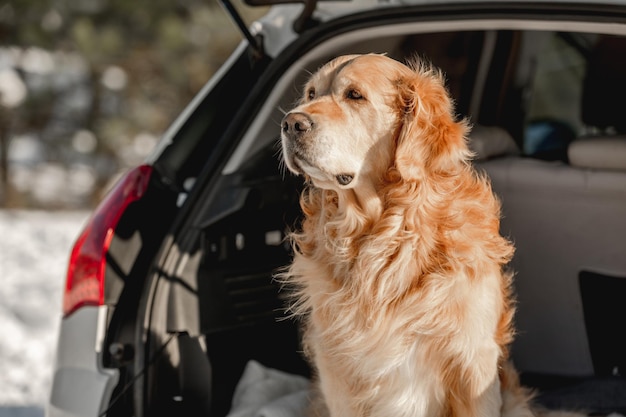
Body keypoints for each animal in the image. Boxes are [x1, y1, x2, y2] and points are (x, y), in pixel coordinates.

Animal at [278, 53, 584, 416]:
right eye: (311, 94)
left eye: (354, 95)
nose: (290, 123)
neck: (384, 236)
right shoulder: (340, 374)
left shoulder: (473, 364)